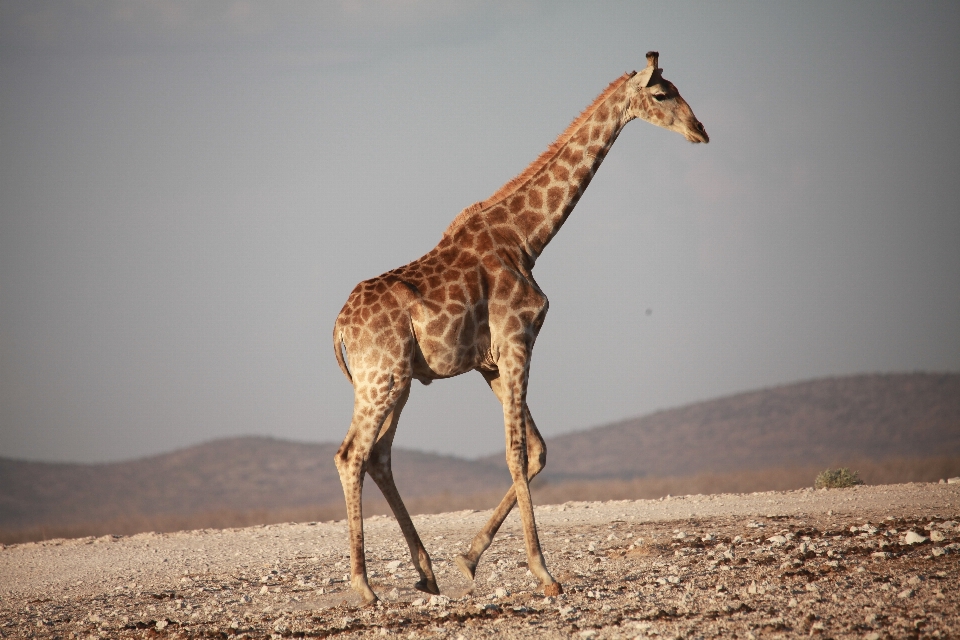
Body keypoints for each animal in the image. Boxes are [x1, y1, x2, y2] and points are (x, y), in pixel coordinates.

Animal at [330, 51, 704, 604]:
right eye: (662, 94)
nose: (701, 130)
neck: (527, 238)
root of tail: (337, 326)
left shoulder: (491, 361)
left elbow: (538, 453)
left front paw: (467, 559)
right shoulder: (518, 339)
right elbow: (517, 453)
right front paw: (544, 573)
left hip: (397, 381)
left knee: (378, 455)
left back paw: (426, 573)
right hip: (381, 378)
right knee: (351, 454)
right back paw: (364, 587)